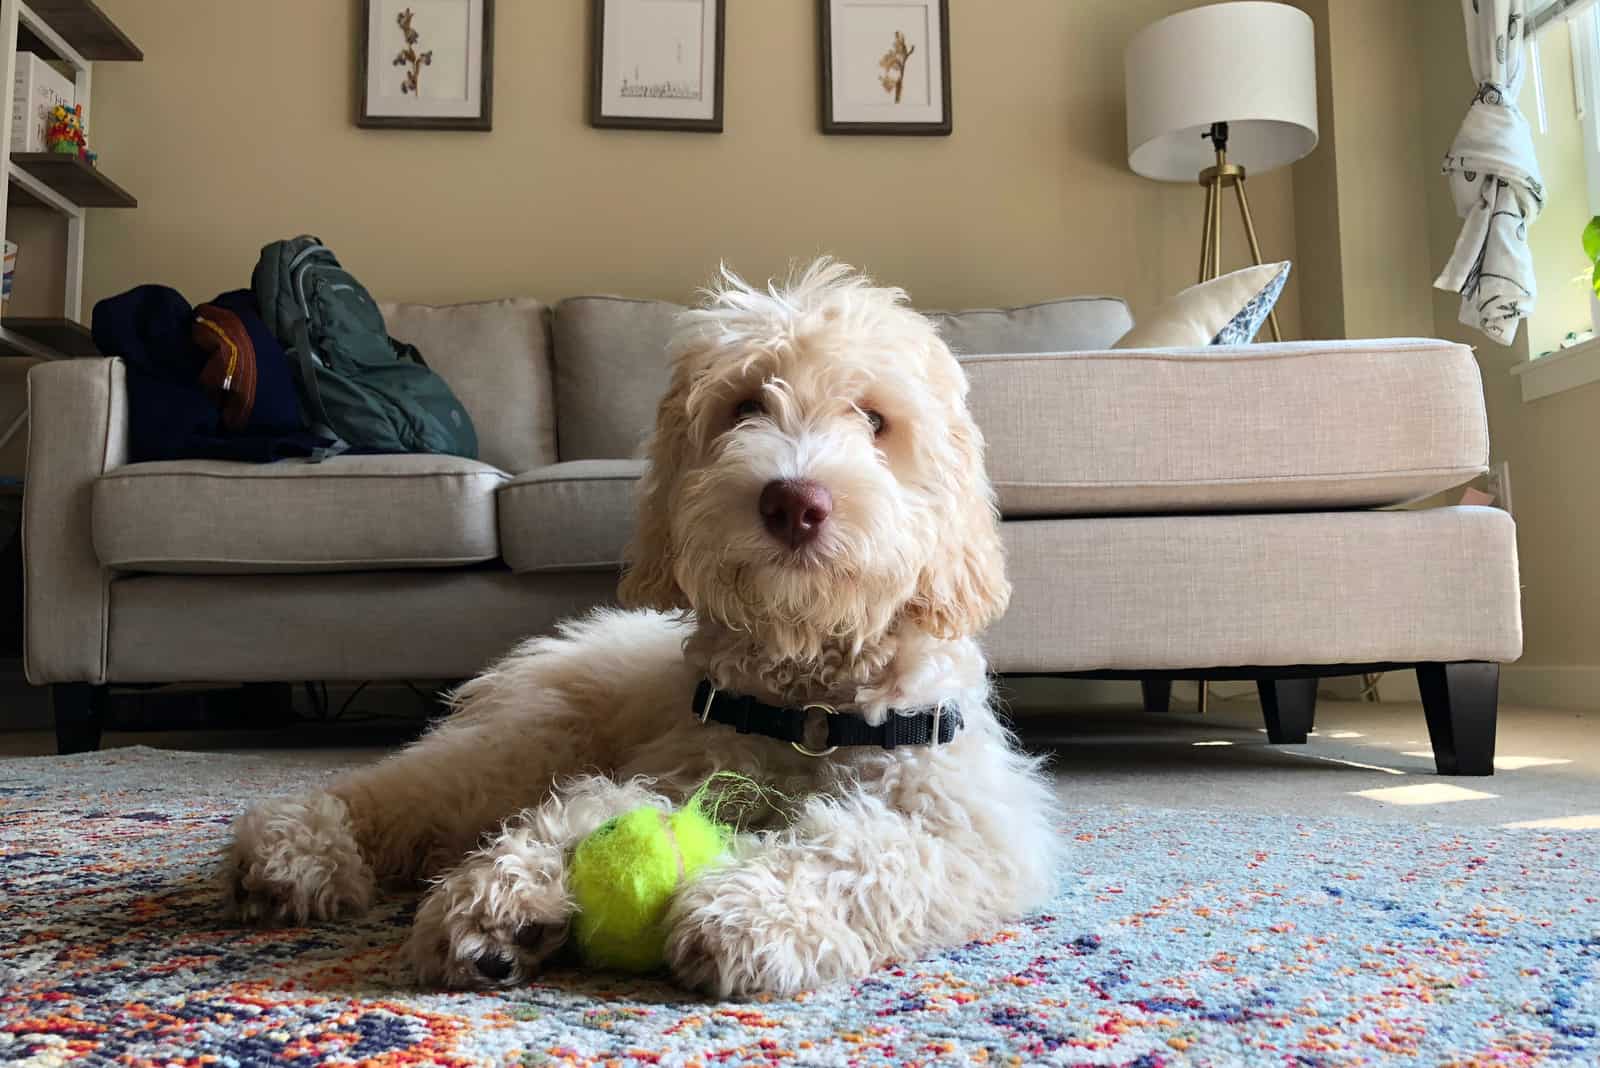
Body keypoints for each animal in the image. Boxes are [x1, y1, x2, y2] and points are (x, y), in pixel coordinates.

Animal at [222, 262, 1049, 997]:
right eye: (745, 406)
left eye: (876, 421)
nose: (794, 503)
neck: (807, 703)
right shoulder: (677, 768)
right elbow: (587, 807)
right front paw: (501, 896)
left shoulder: (964, 821)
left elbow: (863, 847)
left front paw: (749, 912)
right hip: (526, 740)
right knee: (399, 788)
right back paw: (292, 848)